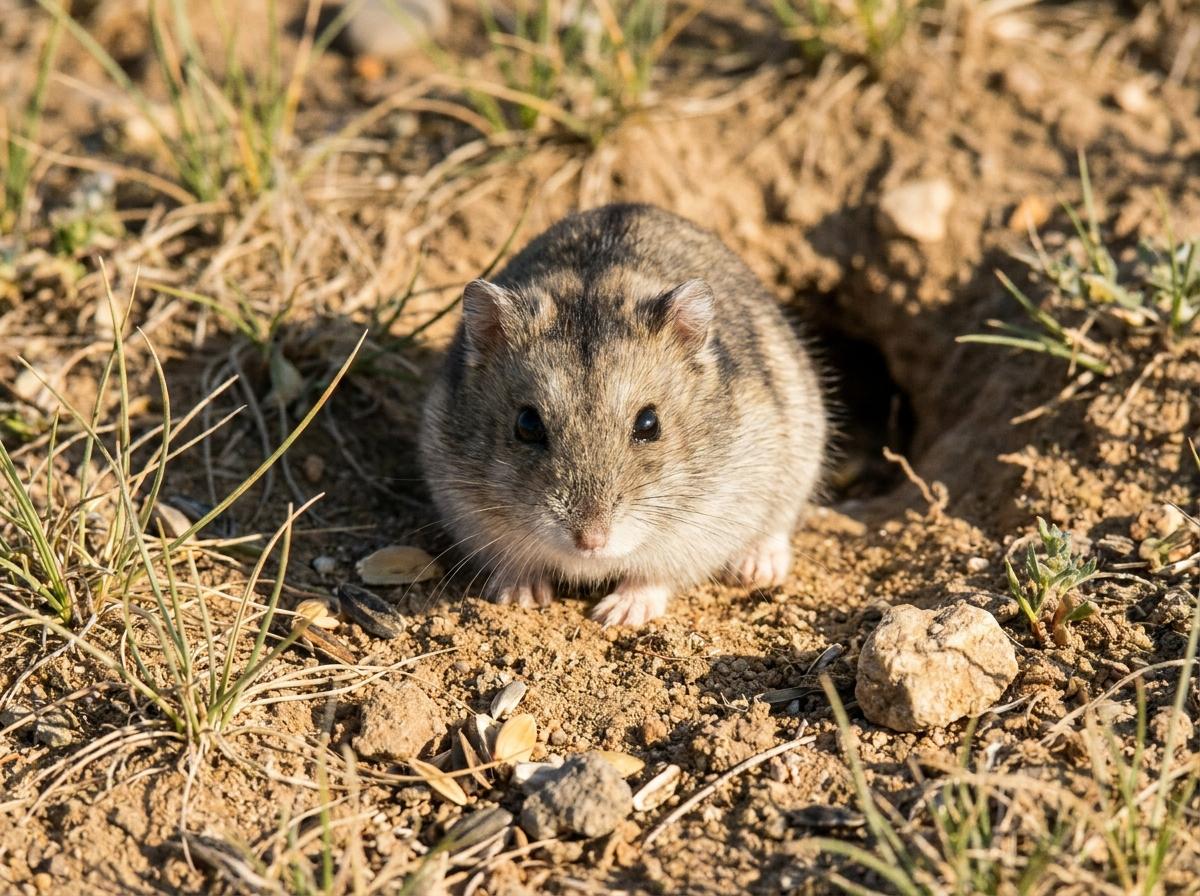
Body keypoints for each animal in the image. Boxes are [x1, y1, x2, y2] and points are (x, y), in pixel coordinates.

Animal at [420, 203, 826, 627]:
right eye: (527, 424)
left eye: (649, 423)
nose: (591, 541)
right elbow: (515, 561)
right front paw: (520, 596)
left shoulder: (705, 525)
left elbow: (653, 577)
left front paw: (616, 615)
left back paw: (756, 570)